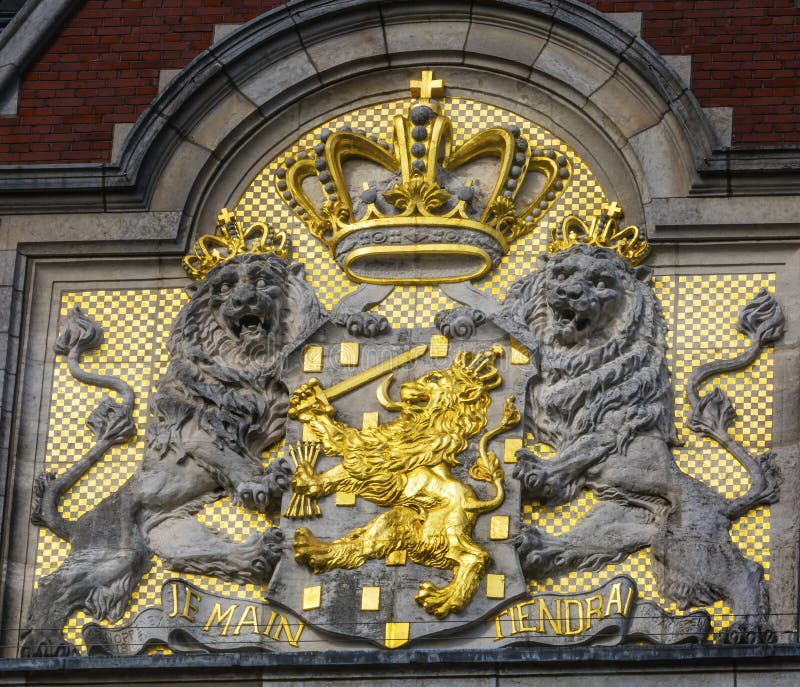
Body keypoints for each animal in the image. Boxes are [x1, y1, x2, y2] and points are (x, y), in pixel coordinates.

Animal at [286, 346, 520, 620]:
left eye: (433, 378)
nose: (405, 385)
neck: (428, 425)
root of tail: (474, 502)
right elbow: (338, 449)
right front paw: (305, 398)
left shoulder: (374, 460)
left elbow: (340, 449)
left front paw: (309, 473)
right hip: (404, 520)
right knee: (366, 541)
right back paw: (313, 549)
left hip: (435, 534)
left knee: (475, 557)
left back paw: (444, 599)